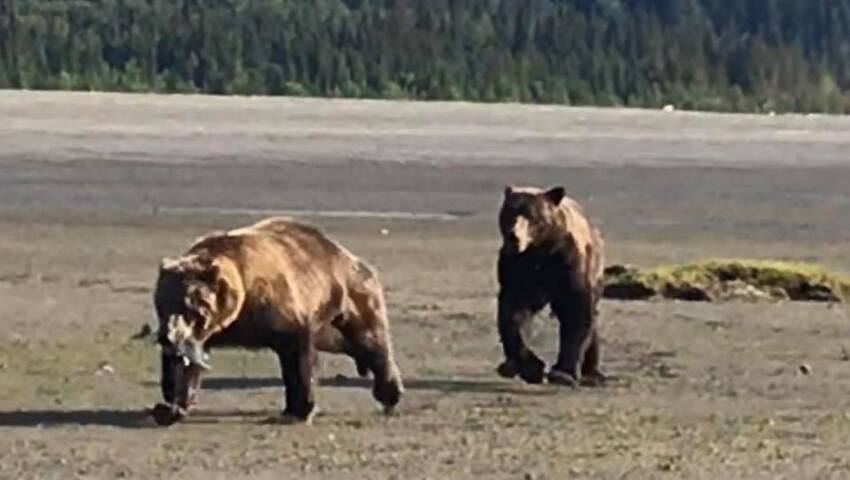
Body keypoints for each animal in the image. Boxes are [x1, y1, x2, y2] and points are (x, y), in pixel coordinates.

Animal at [151, 216, 402, 426]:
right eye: (161, 303)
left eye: (190, 305)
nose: (167, 336)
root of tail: (347, 254)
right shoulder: (208, 333)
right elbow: (186, 366)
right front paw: (171, 405)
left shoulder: (279, 311)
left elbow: (299, 358)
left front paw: (303, 409)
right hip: (328, 325)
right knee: (345, 344)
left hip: (347, 295)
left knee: (368, 339)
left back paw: (390, 393)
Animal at [494, 186, 608, 388]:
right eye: (509, 212)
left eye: (532, 215)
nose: (513, 236)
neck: (540, 250)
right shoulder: (516, 270)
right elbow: (512, 313)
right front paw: (530, 368)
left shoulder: (567, 263)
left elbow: (576, 311)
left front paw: (562, 373)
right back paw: (507, 367)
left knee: (591, 317)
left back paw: (593, 373)